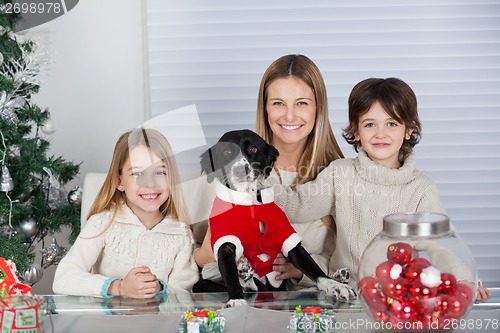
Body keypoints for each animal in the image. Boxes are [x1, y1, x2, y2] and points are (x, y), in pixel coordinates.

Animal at [194, 129, 356, 306]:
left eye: (252, 149)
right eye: (227, 152)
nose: (240, 170)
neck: (249, 203)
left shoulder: (287, 238)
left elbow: (314, 269)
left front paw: (334, 285)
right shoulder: (225, 242)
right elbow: (230, 277)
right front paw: (236, 300)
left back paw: (340, 277)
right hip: (200, 284)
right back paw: (244, 275)